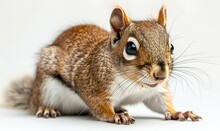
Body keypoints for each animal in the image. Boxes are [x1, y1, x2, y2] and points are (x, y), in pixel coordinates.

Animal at [4, 5, 201, 124]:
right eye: (131, 48)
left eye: (171, 46)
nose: (161, 75)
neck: (135, 83)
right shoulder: (92, 84)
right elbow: (98, 104)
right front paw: (114, 116)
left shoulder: (155, 92)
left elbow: (160, 104)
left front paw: (178, 112)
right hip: (45, 86)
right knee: (40, 102)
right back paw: (47, 109)